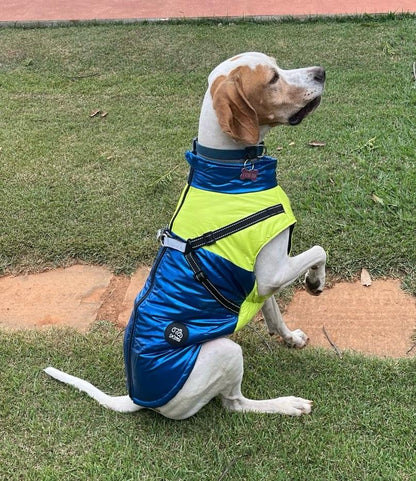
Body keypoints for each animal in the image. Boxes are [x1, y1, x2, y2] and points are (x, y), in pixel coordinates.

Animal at [44, 52, 324, 418]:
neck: (228, 172)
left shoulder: (258, 280)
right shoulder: (272, 272)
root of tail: (136, 397)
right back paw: (287, 404)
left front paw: (290, 337)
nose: (321, 72)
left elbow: (274, 314)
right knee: (234, 403)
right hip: (225, 352)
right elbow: (319, 251)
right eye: (273, 79)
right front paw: (315, 281)